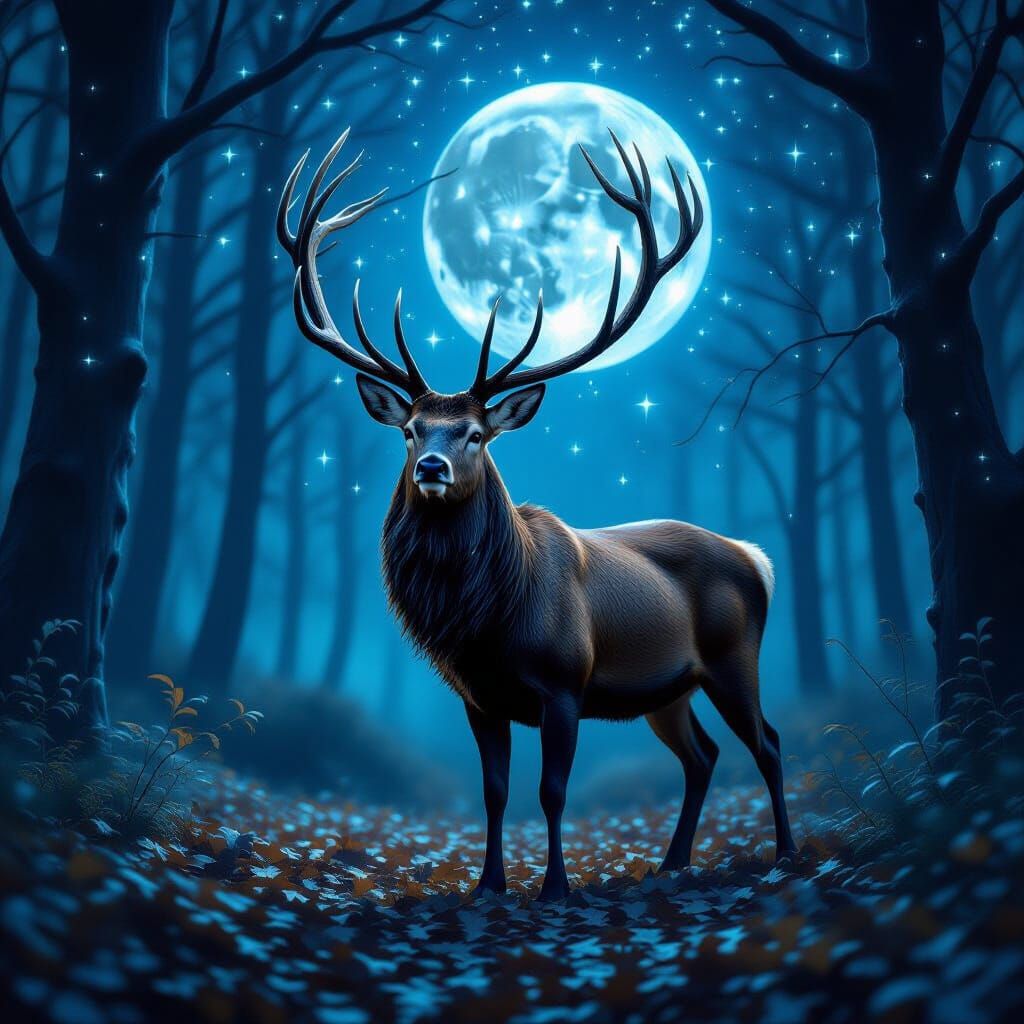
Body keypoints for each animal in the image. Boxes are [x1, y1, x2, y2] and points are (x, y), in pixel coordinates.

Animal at [277, 130, 797, 902]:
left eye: (475, 434)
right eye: (411, 432)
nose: (432, 469)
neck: (488, 620)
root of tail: (755, 557)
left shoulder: (564, 683)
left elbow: (553, 792)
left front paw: (555, 887)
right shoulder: (478, 697)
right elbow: (494, 792)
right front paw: (489, 885)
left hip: (735, 656)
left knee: (767, 741)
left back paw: (785, 854)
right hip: (665, 689)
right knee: (701, 755)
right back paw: (670, 865)